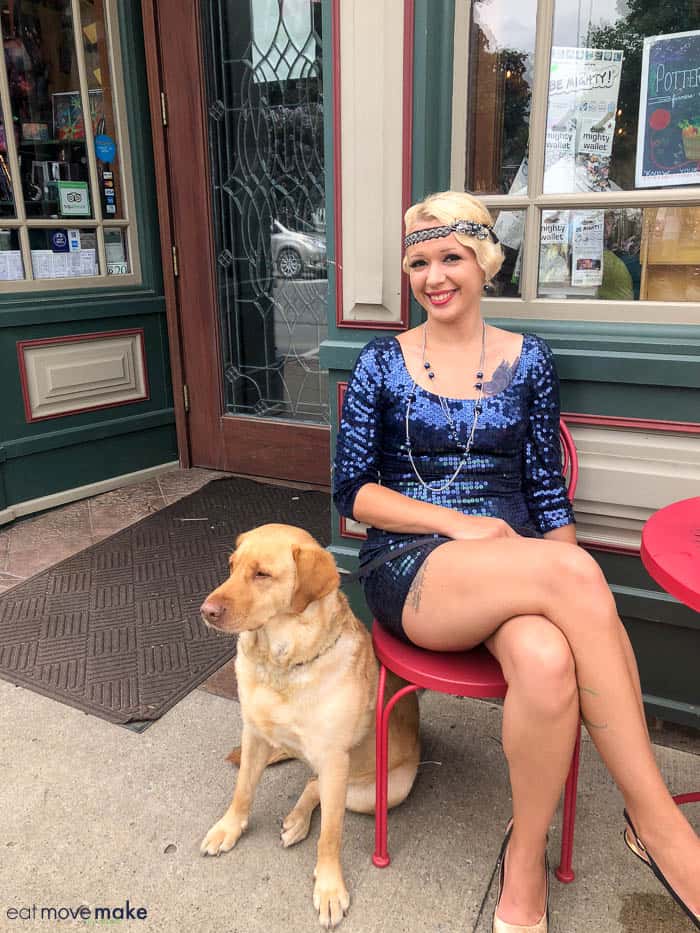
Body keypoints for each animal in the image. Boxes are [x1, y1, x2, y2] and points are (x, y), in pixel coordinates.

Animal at [197, 524, 418, 924]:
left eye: (262, 574)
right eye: (232, 567)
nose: (206, 611)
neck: (281, 664)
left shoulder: (334, 758)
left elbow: (330, 835)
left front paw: (329, 887)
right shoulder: (254, 734)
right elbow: (242, 791)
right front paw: (228, 828)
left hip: (385, 790)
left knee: (318, 788)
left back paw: (300, 821)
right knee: (311, 784)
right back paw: (297, 820)